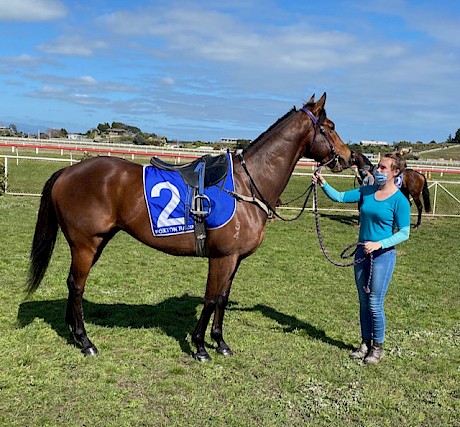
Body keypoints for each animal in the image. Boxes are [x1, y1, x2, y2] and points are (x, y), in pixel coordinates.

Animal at [27, 93, 352, 362]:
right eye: (330, 126)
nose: (349, 157)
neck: (247, 185)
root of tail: (68, 171)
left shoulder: (235, 259)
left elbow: (222, 298)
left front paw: (220, 343)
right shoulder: (221, 257)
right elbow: (210, 299)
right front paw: (199, 346)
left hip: (96, 243)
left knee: (73, 284)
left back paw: (73, 332)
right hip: (86, 244)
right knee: (76, 285)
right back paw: (85, 341)